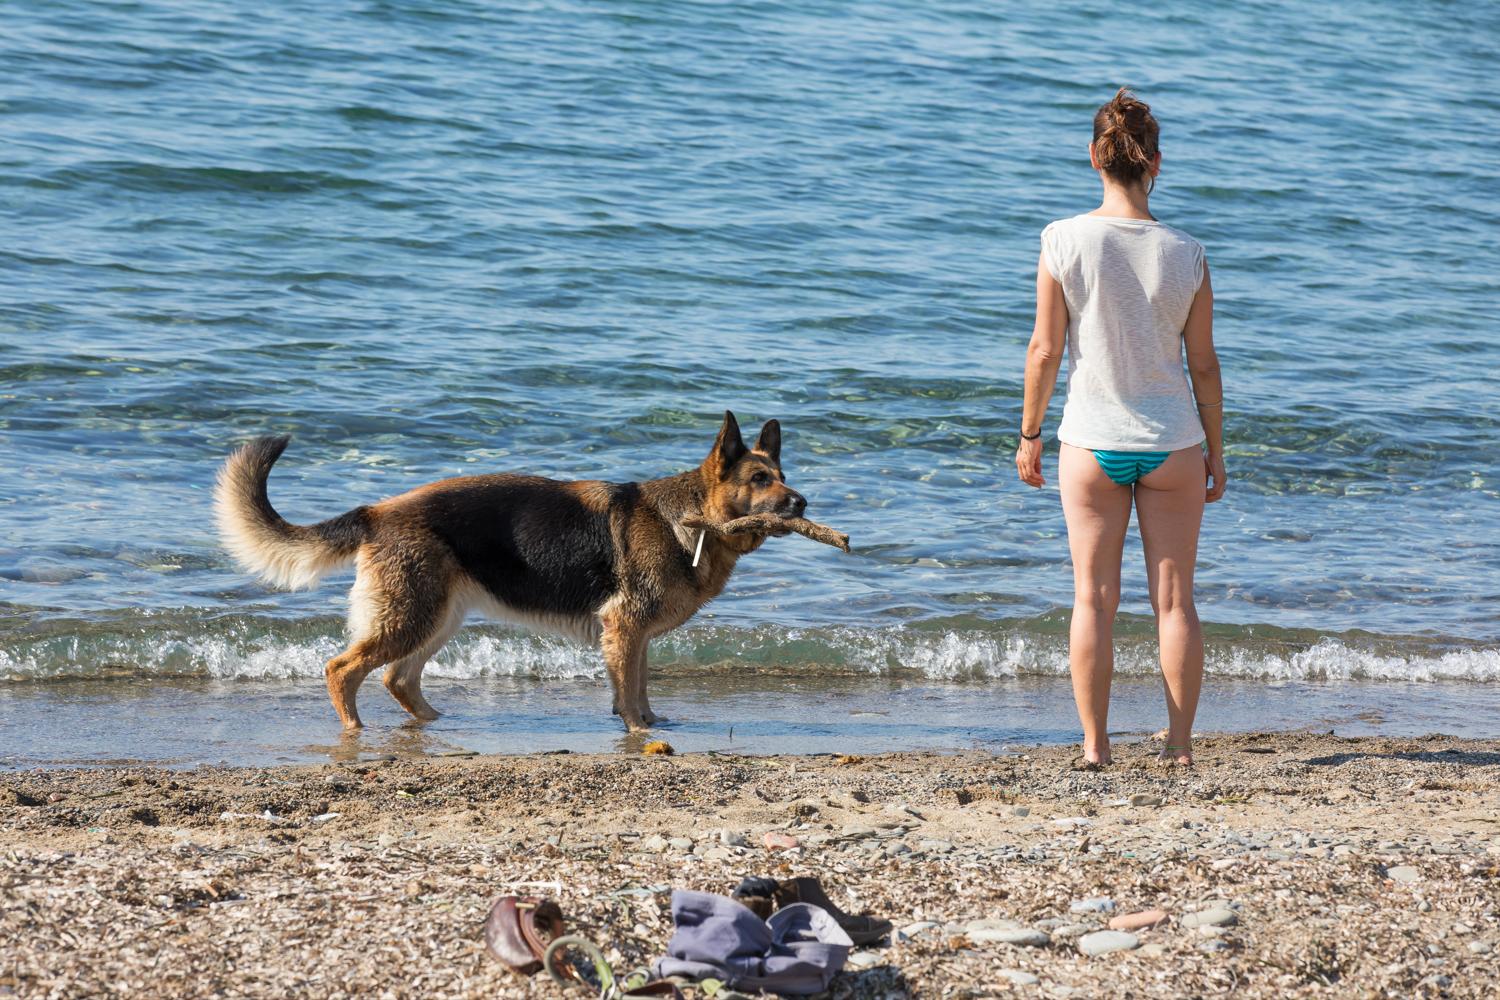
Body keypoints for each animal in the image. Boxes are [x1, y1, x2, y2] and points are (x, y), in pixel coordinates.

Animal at [216, 413, 804, 734]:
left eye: (781, 475)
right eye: (759, 479)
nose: (802, 503)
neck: (690, 516)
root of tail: (377, 512)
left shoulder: (631, 636)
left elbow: (637, 684)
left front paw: (649, 724)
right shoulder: (626, 628)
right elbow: (631, 689)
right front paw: (639, 731)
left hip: (437, 620)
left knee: (397, 677)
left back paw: (432, 724)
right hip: (413, 617)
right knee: (342, 669)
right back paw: (356, 730)